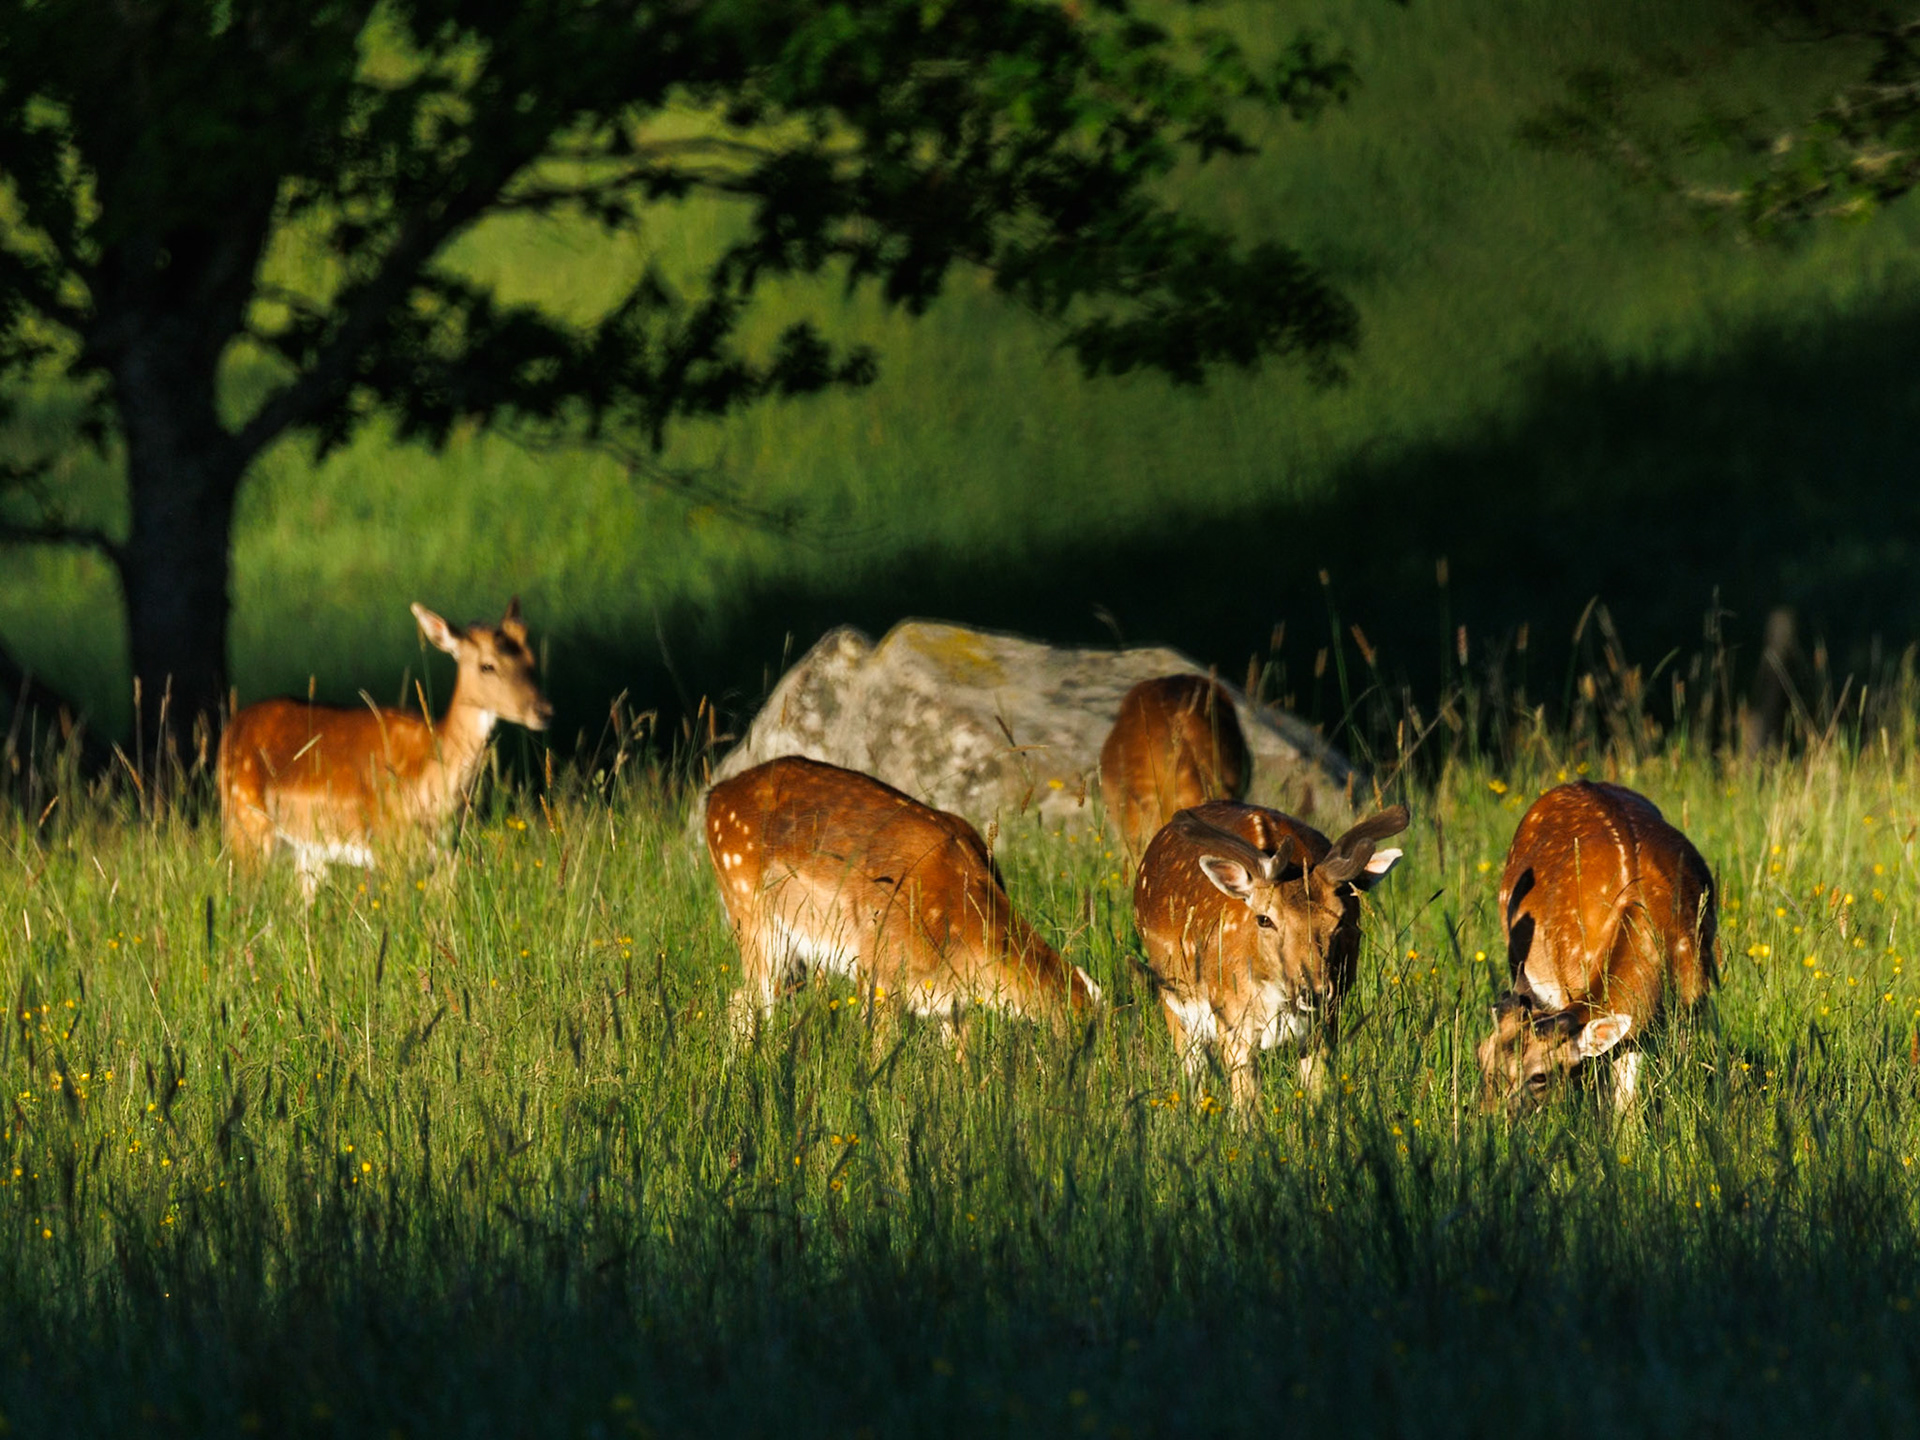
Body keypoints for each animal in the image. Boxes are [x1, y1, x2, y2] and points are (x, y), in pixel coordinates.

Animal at [217, 598, 553, 899]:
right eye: (487, 666)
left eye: (532, 661)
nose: (544, 711)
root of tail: (231, 729)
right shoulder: (389, 845)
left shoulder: (447, 849)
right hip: (245, 824)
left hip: (307, 849)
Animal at [705, 755, 1101, 1045]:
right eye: (1078, 1035)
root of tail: (714, 796)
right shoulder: (875, 971)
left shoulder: (952, 1001)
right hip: (749, 910)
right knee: (748, 1000)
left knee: (743, 998)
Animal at [1132, 799, 1409, 1106]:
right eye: (1264, 919)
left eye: (1340, 919)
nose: (1313, 992)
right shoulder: (1232, 1022)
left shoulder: (1325, 1024)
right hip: (1172, 999)